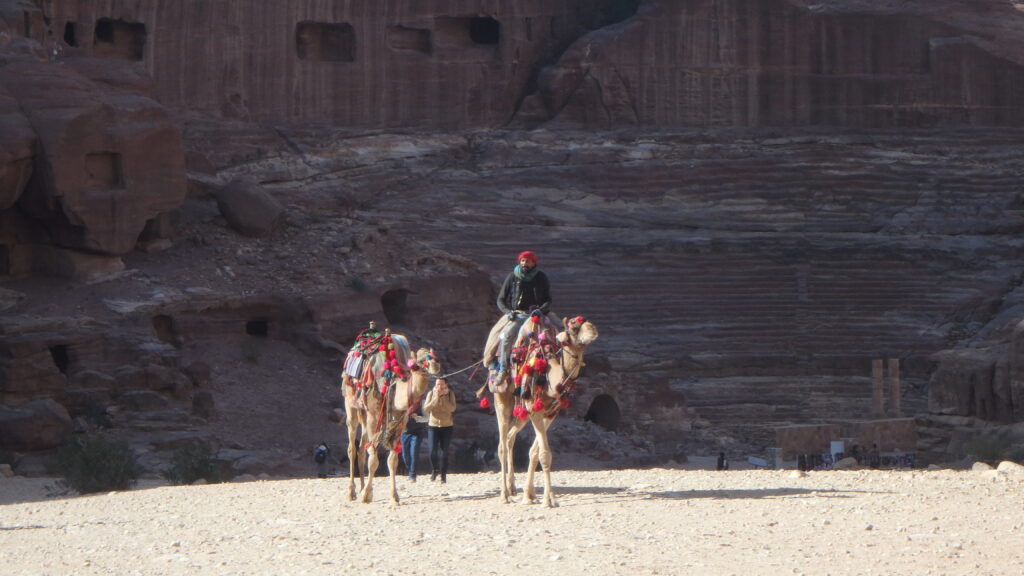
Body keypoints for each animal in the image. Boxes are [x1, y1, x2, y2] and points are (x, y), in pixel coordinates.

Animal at [342, 332, 442, 502]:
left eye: (435, 356)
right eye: (418, 362)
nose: (435, 365)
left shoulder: (400, 420)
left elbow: (393, 460)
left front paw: (394, 496)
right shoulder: (374, 416)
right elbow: (373, 458)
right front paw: (366, 495)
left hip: (365, 413)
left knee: (361, 447)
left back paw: (361, 487)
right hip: (351, 405)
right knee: (352, 447)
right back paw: (351, 492)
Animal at [479, 311, 598, 504]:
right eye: (573, 326)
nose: (592, 329)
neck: (550, 378)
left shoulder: (551, 413)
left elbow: (535, 452)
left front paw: (531, 495)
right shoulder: (536, 410)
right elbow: (544, 453)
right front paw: (549, 501)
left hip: (522, 410)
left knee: (510, 437)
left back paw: (513, 488)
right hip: (502, 397)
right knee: (502, 444)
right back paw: (504, 495)